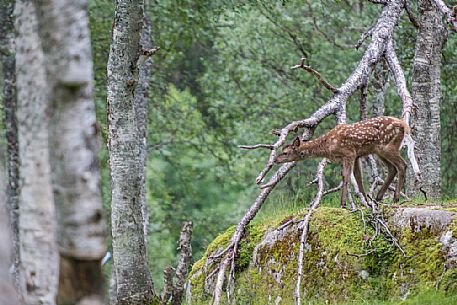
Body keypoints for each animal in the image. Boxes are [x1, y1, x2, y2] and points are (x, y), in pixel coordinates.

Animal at [274, 116, 410, 207]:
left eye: (285, 153)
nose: (275, 159)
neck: (328, 146)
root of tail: (403, 124)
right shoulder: (356, 155)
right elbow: (358, 177)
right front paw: (365, 201)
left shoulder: (349, 153)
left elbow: (346, 176)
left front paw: (343, 203)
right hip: (379, 151)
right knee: (392, 168)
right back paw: (378, 198)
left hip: (387, 147)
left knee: (402, 164)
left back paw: (396, 198)